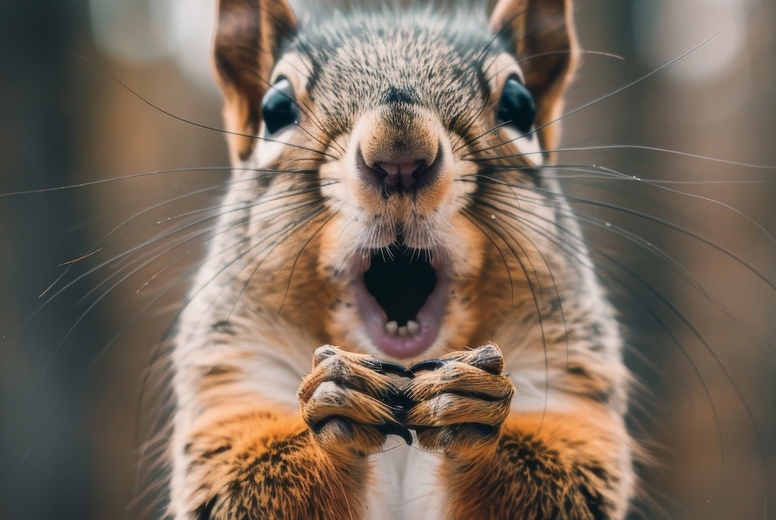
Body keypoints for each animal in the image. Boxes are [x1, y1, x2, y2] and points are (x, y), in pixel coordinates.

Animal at [168, 0, 634, 518]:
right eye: (275, 109)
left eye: (519, 105)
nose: (399, 155)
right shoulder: (236, 376)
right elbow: (239, 480)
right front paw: (338, 398)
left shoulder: (566, 380)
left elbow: (564, 475)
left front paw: (467, 401)